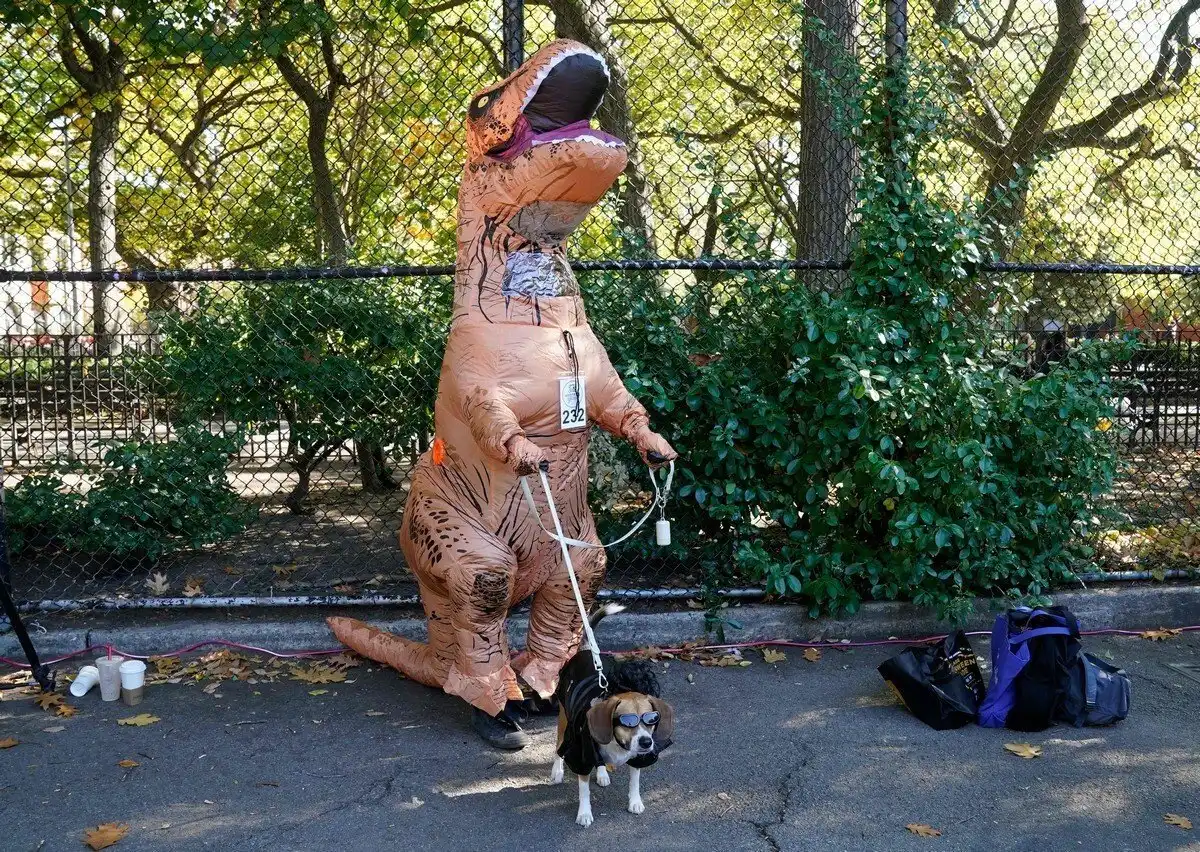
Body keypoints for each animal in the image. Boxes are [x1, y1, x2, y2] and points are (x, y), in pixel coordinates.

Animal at [549, 604, 674, 826]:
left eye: (651, 719)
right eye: (627, 721)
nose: (646, 742)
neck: (617, 742)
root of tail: (586, 650)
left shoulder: (638, 758)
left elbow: (635, 781)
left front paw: (635, 802)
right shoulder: (581, 757)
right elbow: (584, 791)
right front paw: (584, 813)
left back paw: (601, 773)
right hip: (564, 722)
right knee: (558, 747)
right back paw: (557, 771)